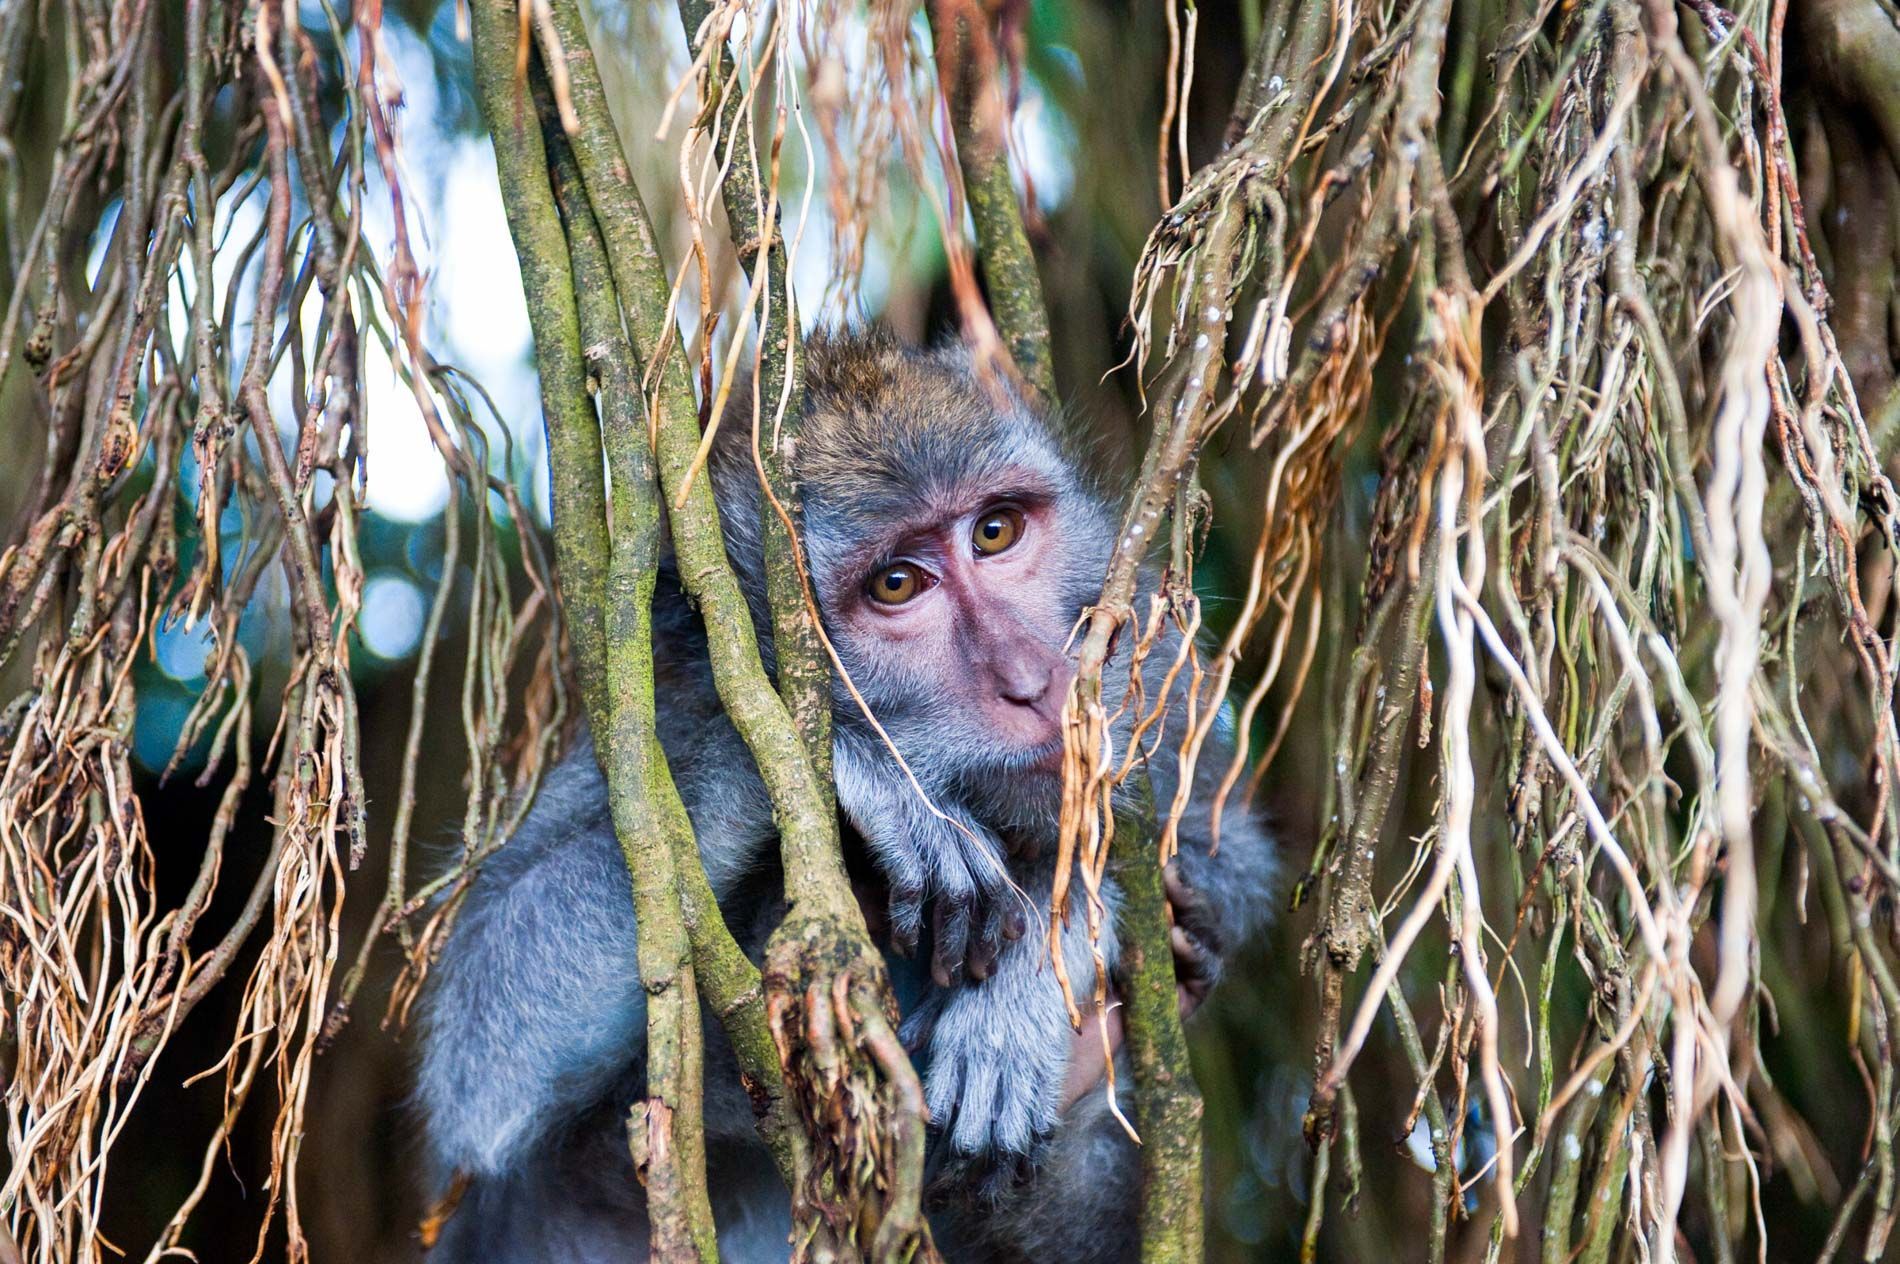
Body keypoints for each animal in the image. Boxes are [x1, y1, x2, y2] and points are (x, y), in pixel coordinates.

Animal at [411, 331, 1280, 1262]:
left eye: (996, 531)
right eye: (895, 585)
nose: (1035, 682)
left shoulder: (1156, 657)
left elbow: (1226, 854)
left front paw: (1033, 978)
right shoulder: (646, 734)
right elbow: (482, 1050)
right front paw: (875, 774)